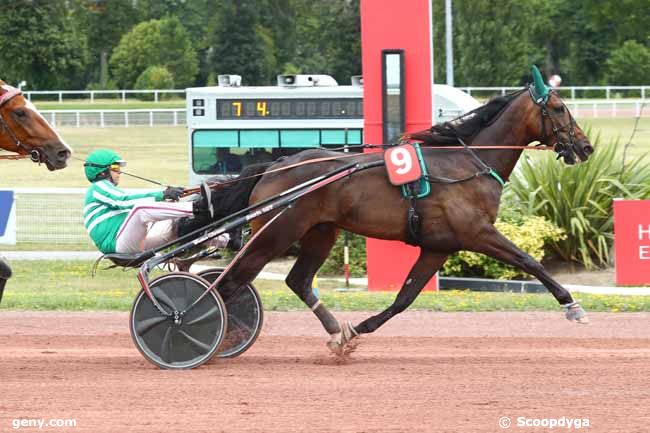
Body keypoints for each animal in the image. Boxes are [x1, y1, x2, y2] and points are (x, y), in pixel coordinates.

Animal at [209, 72, 592, 352]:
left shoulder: (438, 247)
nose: (586, 146)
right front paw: (572, 305)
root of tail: (275, 167)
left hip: (320, 232)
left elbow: (404, 298)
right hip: (275, 233)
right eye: (559, 107)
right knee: (229, 283)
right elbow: (529, 261)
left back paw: (333, 332)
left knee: (297, 281)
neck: (468, 163)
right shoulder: (477, 233)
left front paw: (355, 330)